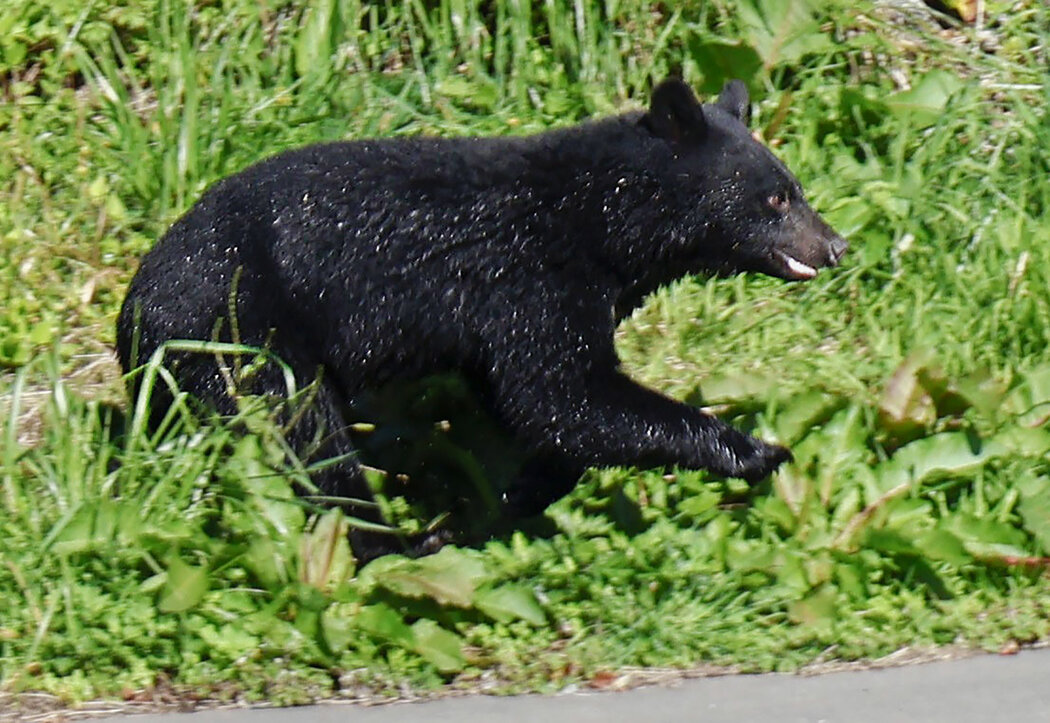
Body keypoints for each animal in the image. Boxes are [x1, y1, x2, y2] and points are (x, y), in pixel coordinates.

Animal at [116, 78, 847, 562]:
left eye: (795, 187)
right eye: (777, 198)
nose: (835, 245)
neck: (601, 220)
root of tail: (132, 314)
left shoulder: (498, 322)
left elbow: (530, 408)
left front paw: (507, 500)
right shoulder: (530, 280)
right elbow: (562, 395)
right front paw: (757, 450)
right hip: (239, 333)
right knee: (309, 434)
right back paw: (392, 543)